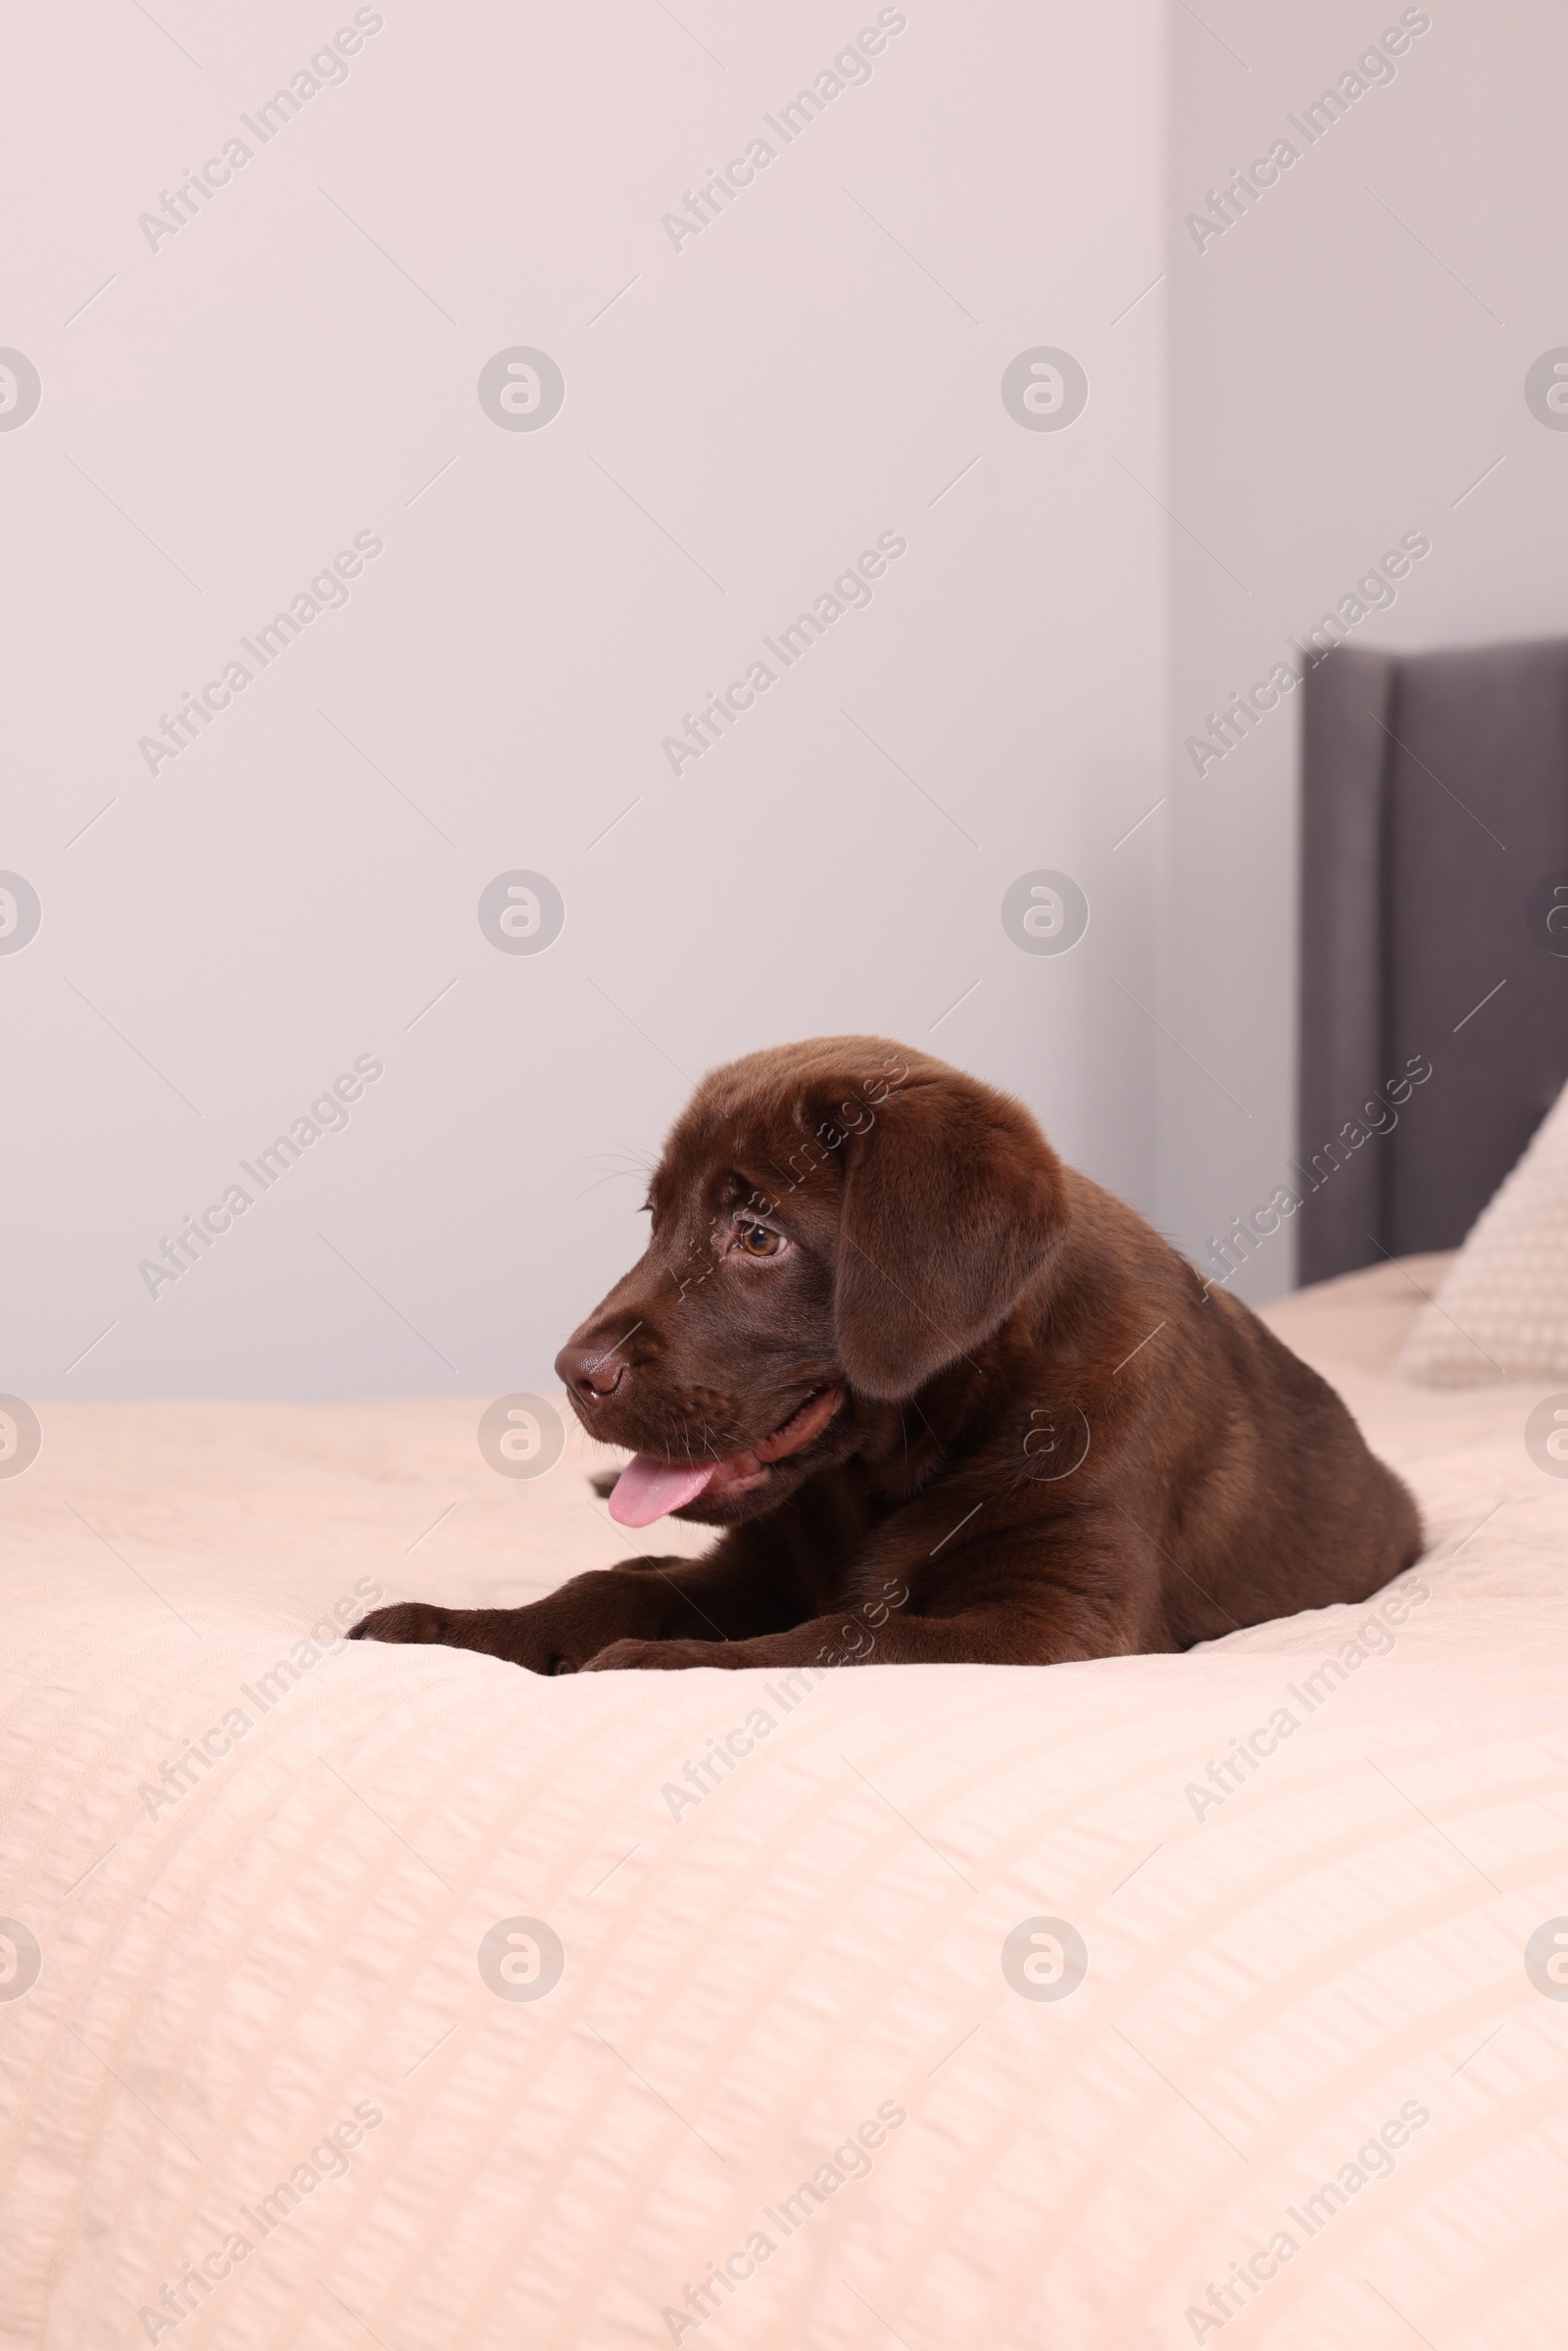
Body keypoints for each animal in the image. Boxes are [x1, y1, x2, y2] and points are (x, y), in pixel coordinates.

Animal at [352, 1034, 1419, 1674]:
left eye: (756, 1235)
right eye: (655, 1219)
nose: (574, 1372)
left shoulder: (1055, 1620)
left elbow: (840, 1636)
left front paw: (660, 1663)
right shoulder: (760, 1563)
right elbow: (607, 1587)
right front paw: (448, 1631)